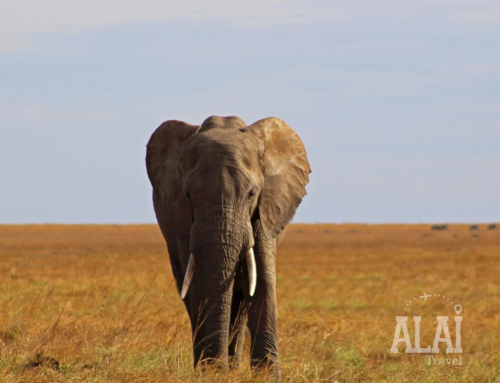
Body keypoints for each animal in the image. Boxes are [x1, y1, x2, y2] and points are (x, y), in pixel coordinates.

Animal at [144, 115, 308, 376]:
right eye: (188, 196)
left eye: (252, 193)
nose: (214, 368)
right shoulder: (183, 222)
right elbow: (199, 283)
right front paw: (210, 373)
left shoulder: (265, 210)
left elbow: (262, 279)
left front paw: (266, 376)